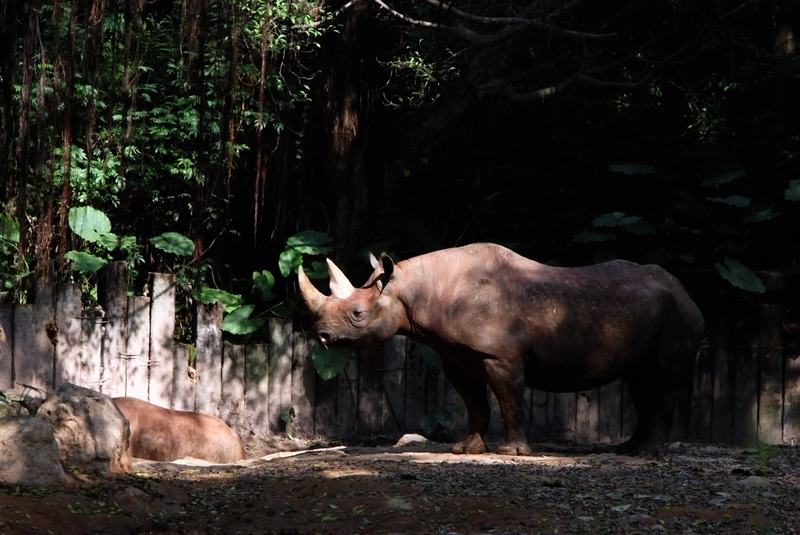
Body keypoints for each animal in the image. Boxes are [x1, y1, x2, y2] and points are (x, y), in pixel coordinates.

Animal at [299, 243, 704, 455]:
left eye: (357, 314)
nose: (322, 337)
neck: (413, 289)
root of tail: (685, 290)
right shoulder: (456, 355)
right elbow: (474, 402)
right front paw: (467, 449)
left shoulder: (501, 355)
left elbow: (509, 399)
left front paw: (513, 453)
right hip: (650, 309)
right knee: (640, 378)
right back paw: (629, 449)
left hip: (679, 315)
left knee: (664, 376)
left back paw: (646, 453)